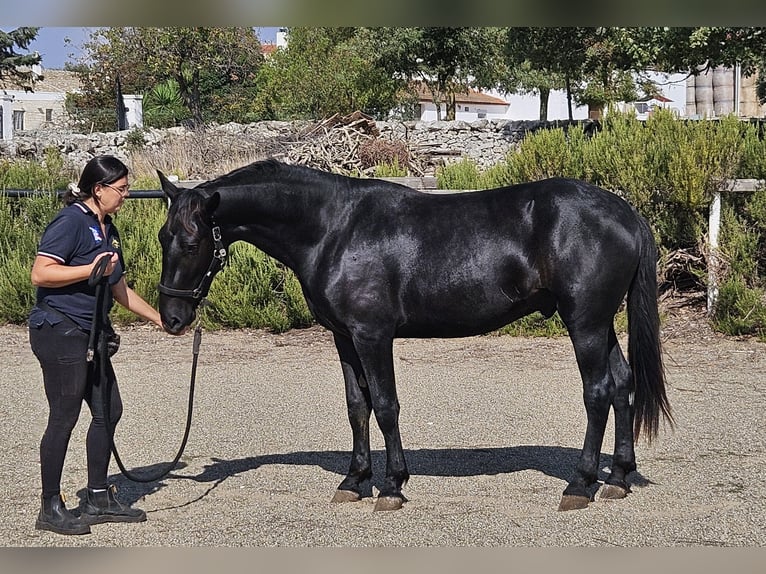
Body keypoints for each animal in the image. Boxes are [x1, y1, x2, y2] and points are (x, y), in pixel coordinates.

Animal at [156, 159, 672, 512]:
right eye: (163, 236)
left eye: (192, 241)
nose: (172, 317)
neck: (333, 229)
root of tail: (625, 213)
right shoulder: (344, 338)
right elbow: (357, 406)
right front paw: (354, 481)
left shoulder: (372, 335)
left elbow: (385, 406)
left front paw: (392, 485)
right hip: (600, 325)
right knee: (622, 385)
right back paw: (617, 478)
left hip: (584, 322)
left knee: (598, 392)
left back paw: (580, 484)